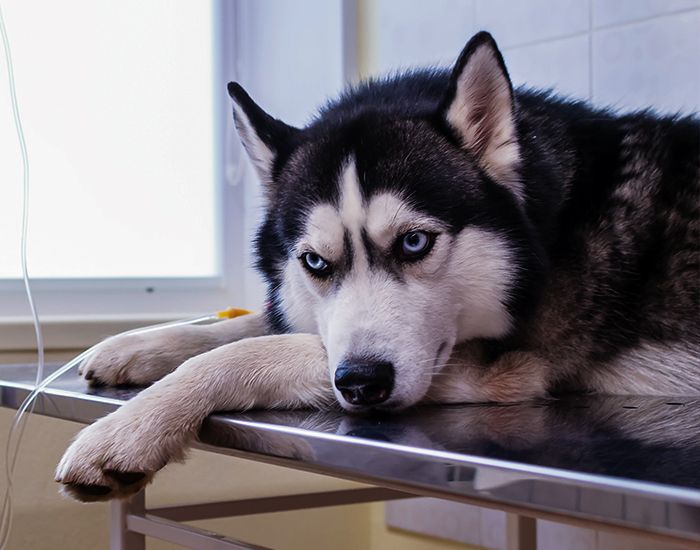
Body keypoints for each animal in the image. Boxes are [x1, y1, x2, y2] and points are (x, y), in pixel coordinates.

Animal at [57, 32, 696, 502]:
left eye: (414, 243)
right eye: (315, 261)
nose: (361, 384)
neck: (552, 219)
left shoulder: (500, 372)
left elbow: (253, 350)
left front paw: (127, 429)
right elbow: (254, 325)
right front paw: (136, 345)